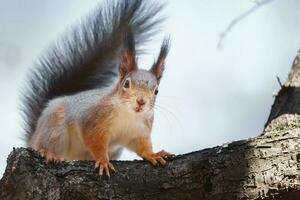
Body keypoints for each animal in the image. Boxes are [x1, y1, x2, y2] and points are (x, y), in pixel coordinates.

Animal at [21, 0, 171, 176]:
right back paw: (47, 152)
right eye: (126, 83)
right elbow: (95, 142)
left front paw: (153, 154)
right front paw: (103, 160)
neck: (128, 114)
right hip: (54, 128)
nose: (141, 102)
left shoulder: (139, 131)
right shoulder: (93, 121)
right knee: (46, 143)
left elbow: (142, 147)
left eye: (156, 91)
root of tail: (34, 136)